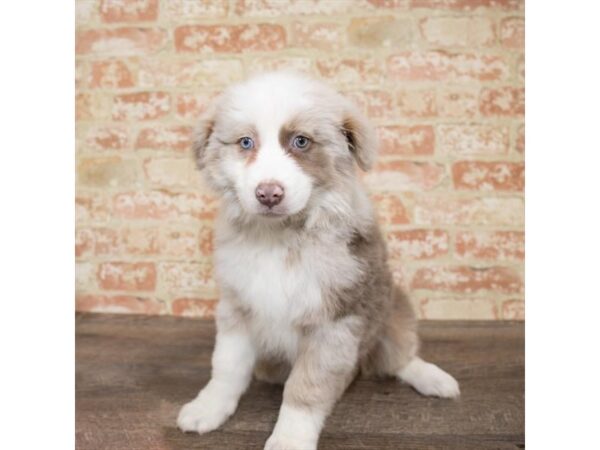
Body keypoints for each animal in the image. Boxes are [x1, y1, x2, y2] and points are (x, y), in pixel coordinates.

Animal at [177, 73, 460, 450]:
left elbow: (306, 388)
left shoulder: (335, 321)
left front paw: (289, 438)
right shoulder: (237, 305)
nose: (269, 193)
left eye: (301, 141)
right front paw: (208, 407)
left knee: (399, 354)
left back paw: (433, 378)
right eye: (246, 142)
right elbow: (226, 366)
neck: (279, 237)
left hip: (392, 308)